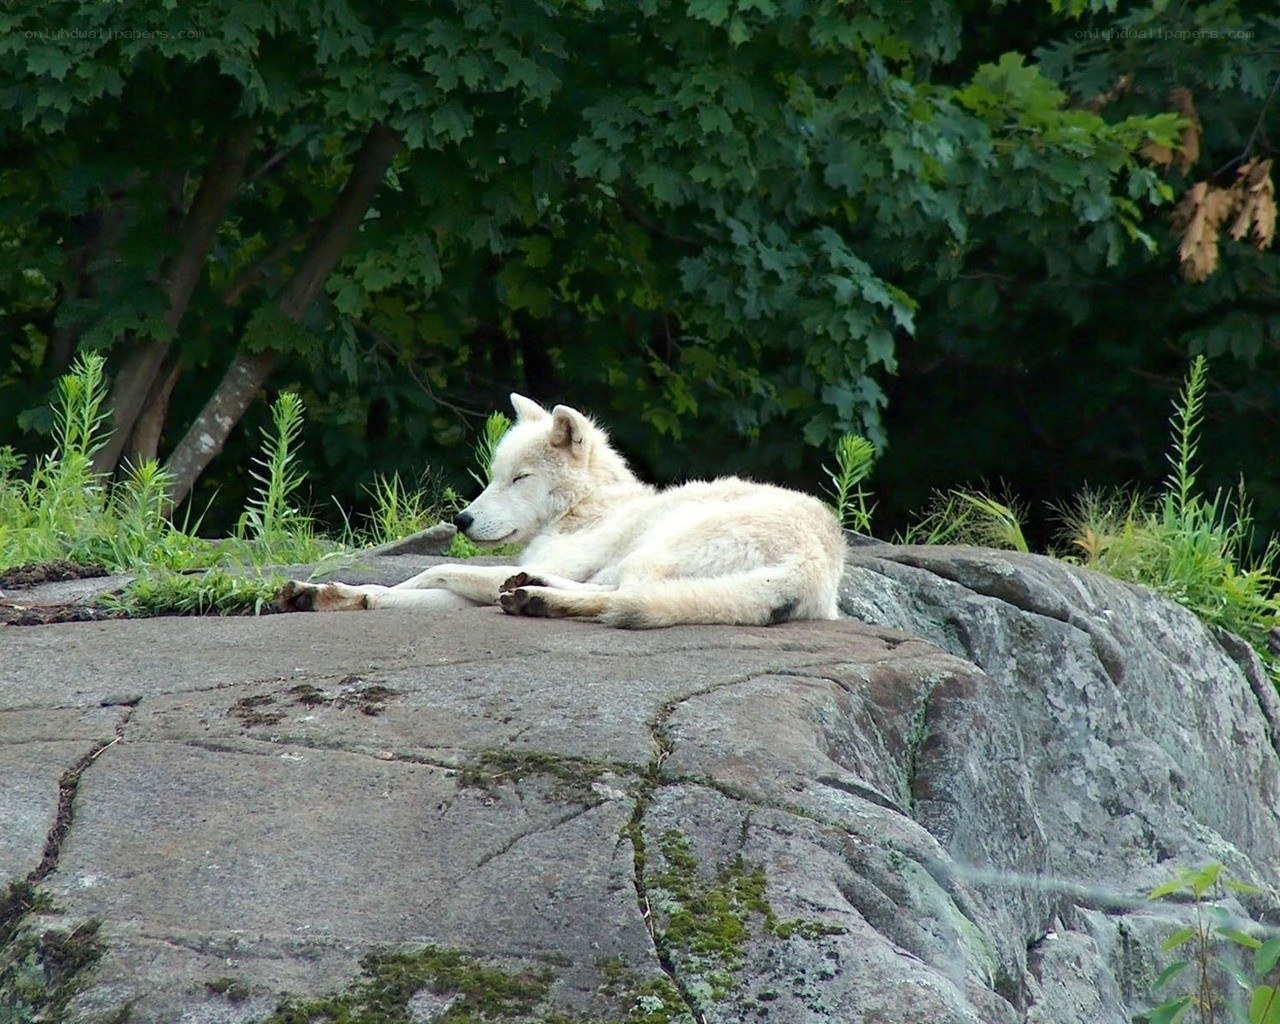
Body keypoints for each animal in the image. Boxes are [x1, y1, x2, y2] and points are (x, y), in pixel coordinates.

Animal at [276, 394, 847, 628]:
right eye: (493, 476)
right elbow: (394, 591)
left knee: (626, 597)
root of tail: (818, 564)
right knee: (617, 594)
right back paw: (533, 593)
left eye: (519, 479)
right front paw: (324, 594)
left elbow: (431, 569)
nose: (461, 521)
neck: (587, 508)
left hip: (658, 546)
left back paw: (536, 596)